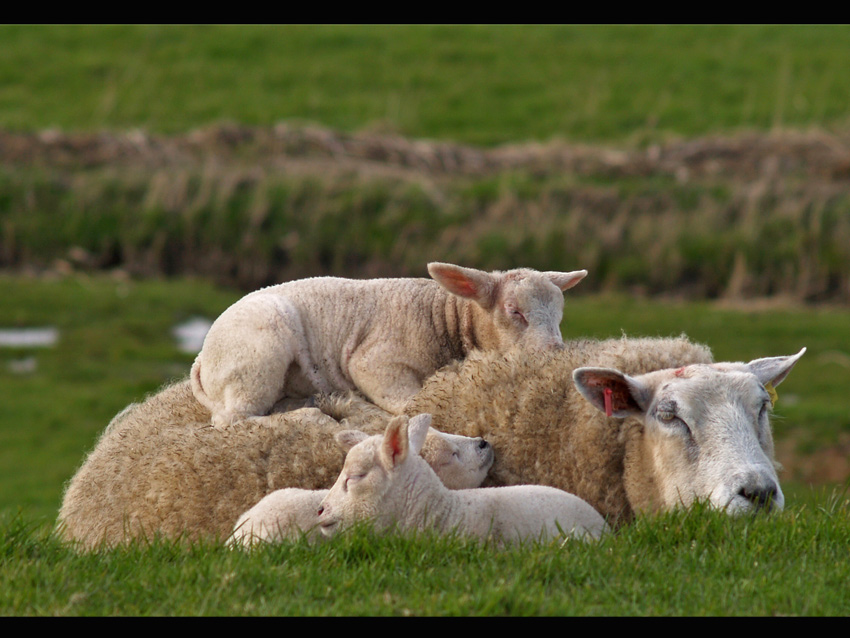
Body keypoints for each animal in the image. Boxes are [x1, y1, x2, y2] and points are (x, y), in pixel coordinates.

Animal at [189, 260, 588, 430]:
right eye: (514, 312)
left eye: (560, 315)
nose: (555, 354)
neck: (443, 316)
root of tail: (202, 358)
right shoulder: (374, 363)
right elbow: (411, 404)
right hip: (259, 353)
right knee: (233, 419)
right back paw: (310, 416)